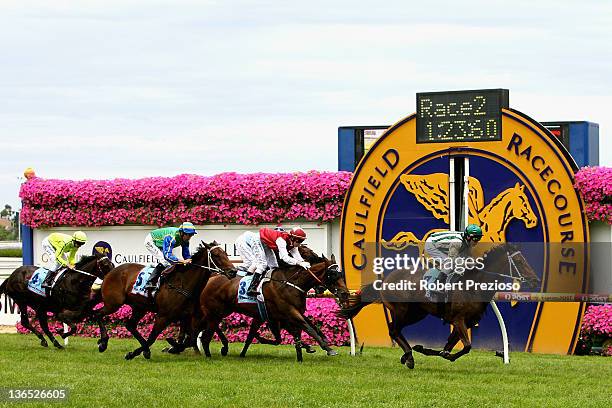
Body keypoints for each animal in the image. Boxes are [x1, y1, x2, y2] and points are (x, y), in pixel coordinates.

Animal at [94, 242, 235, 360]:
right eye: (216, 255)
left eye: (226, 253)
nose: (233, 271)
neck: (183, 283)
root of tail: (111, 271)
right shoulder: (164, 316)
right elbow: (152, 338)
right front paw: (133, 353)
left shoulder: (187, 316)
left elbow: (189, 339)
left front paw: (172, 346)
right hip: (113, 303)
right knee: (98, 314)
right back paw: (103, 343)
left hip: (140, 307)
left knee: (130, 324)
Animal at [196, 256, 350, 362]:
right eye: (332, 274)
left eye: (341, 273)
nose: (345, 293)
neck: (291, 284)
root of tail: (210, 279)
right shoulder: (289, 312)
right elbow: (308, 328)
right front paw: (328, 349)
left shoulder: (285, 315)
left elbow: (307, 328)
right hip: (215, 311)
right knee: (207, 332)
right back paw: (212, 352)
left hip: (222, 311)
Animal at [338, 242, 536, 370]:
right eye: (519, 262)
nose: (535, 280)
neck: (473, 286)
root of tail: (385, 280)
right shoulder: (458, 320)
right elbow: (466, 347)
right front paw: (427, 350)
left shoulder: (466, 323)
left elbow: (450, 347)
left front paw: (429, 350)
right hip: (401, 310)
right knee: (394, 330)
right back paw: (409, 356)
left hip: (417, 314)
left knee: (396, 330)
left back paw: (408, 355)